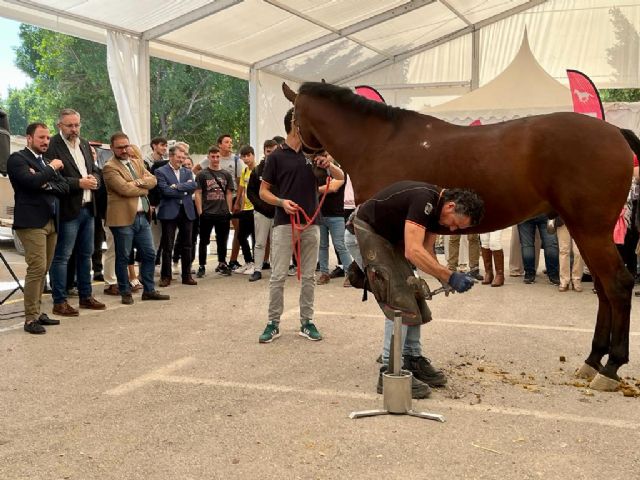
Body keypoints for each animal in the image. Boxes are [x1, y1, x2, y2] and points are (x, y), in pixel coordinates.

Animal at [282, 81, 635, 392]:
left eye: (292, 117)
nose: (297, 154)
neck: (379, 141)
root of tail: (616, 132)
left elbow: (399, 295)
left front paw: (395, 361)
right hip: (584, 230)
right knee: (604, 290)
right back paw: (593, 360)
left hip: (591, 230)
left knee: (618, 285)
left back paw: (610, 367)